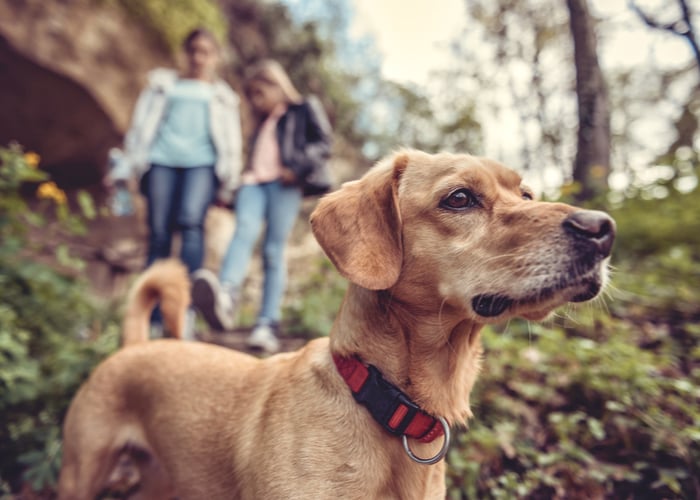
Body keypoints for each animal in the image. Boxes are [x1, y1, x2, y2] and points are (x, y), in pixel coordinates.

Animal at [57, 150, 612, 498]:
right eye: (459, 198)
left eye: (527, 193)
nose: (602, 228)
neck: (385, 400)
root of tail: (133, 346)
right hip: (81, 472)